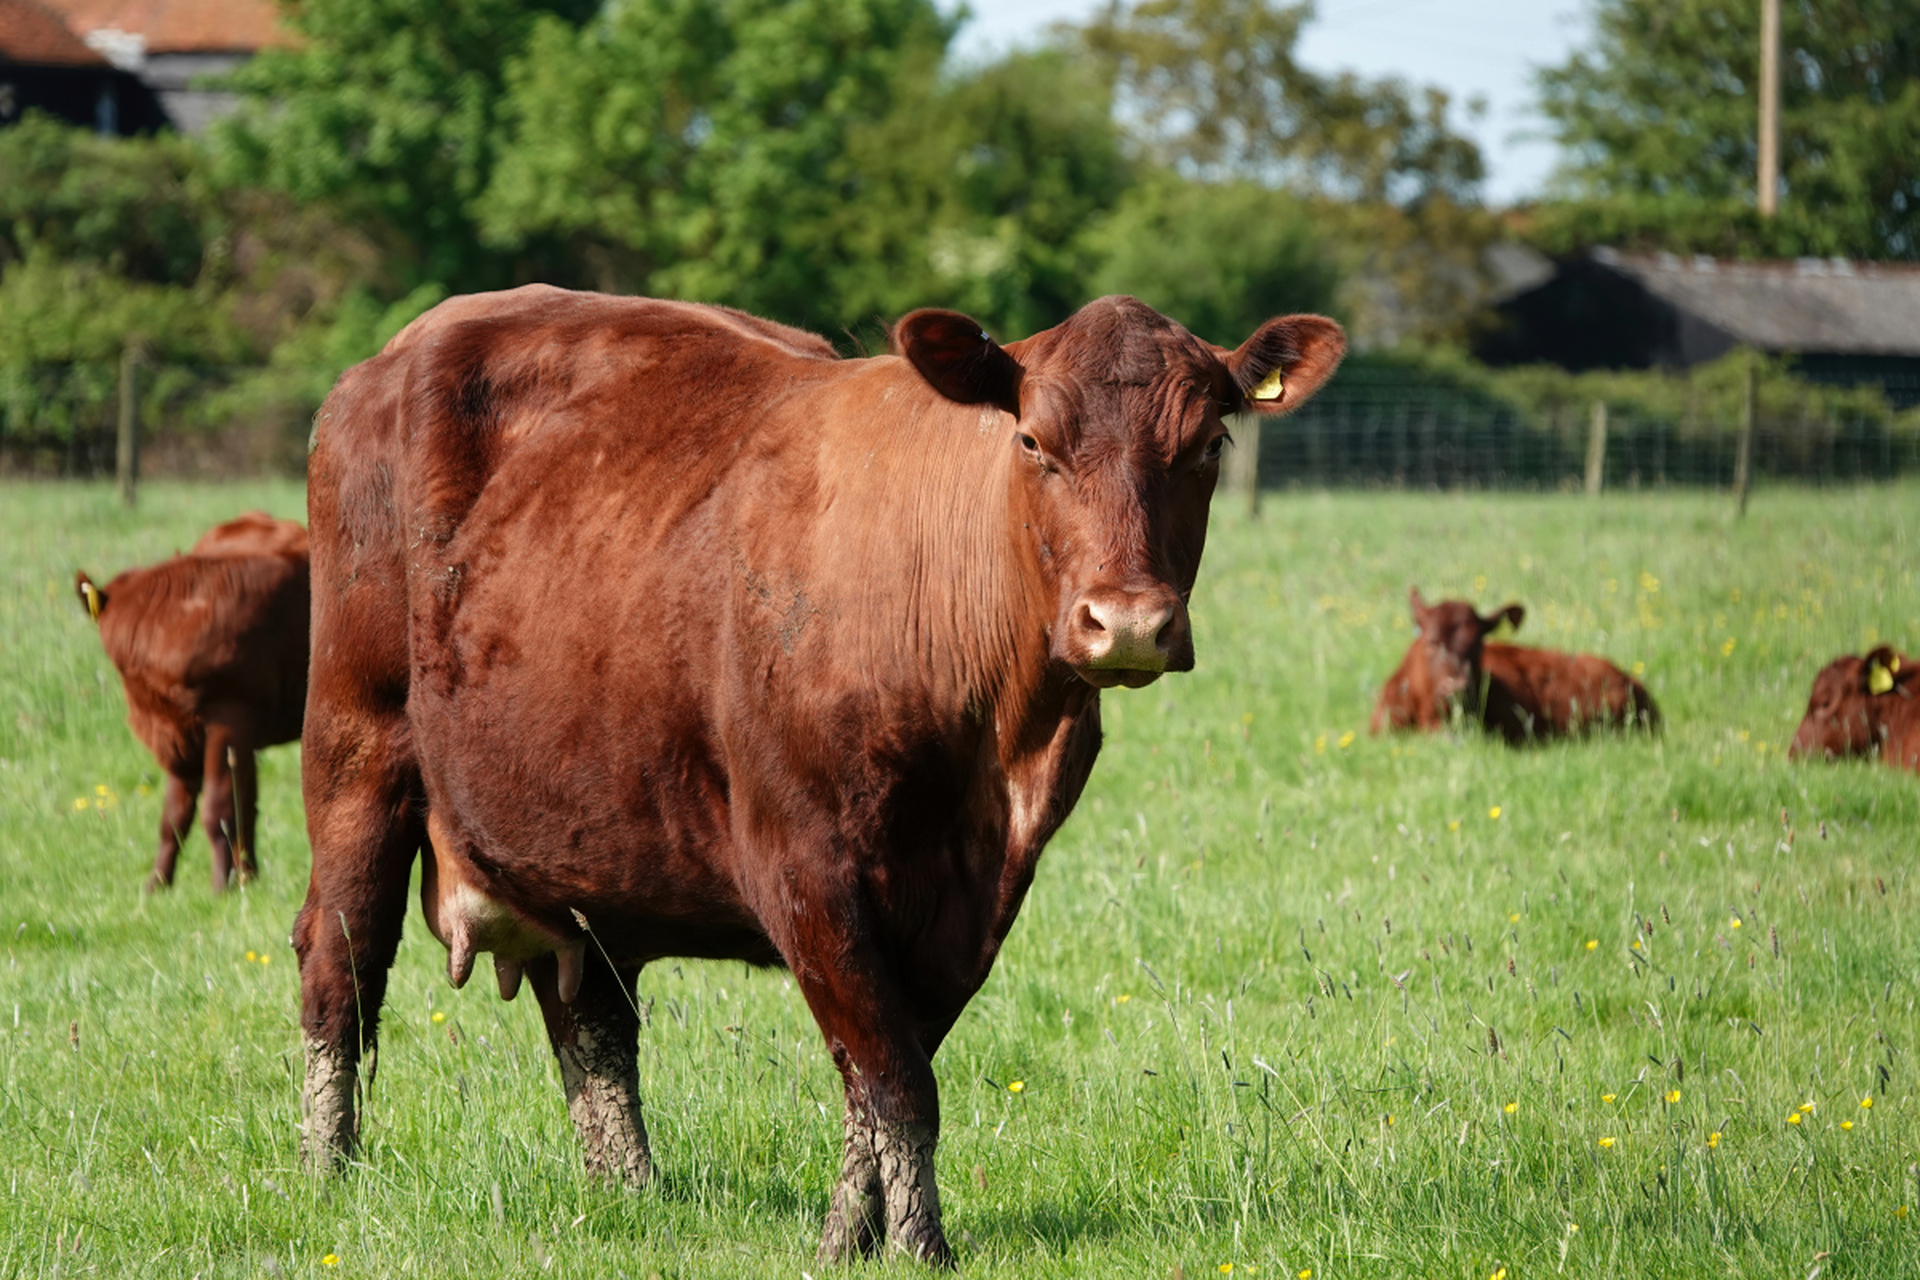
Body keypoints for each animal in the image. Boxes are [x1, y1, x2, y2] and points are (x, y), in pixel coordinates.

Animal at [72, 510, 311, 890]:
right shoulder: (175, 733)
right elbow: (176, 817)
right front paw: (158, 885)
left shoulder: (229, 720)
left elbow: (219, 808)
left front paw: (221, 887)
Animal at [303, 287, 1351, 1258]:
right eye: (1034, 441)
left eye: (1209, 443)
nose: (1126, 622)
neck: (992, 741)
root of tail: (395, 355)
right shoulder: (802, 865)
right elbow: (894, 1077)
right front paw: (919, 1246)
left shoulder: (976, 899)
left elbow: (882, 1076)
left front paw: (854, 1235)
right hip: (357, 753)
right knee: (339, 960)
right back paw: (328, 1172)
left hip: (582, 838)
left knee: (592, 1017)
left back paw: (630, 1194)